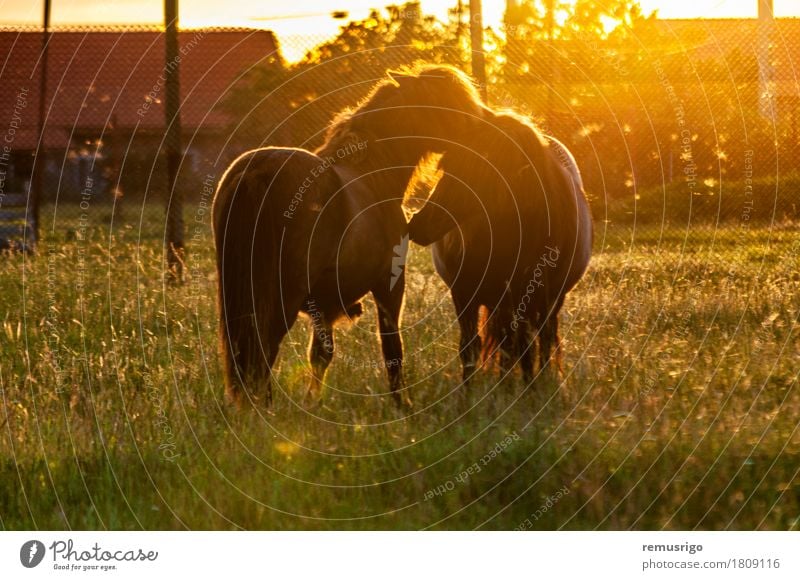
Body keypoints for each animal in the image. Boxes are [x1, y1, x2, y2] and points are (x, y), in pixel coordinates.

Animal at [212, 63, 484, 408]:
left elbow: (321, 355)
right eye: (446, 102)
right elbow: (392, 349)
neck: (374, 174)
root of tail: (258, 169)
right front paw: (402, 405)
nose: (479, 132)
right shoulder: (390, 285)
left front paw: (312, 403)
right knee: (263, 348)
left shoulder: (323, 307)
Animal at [410, 110, 592, 382]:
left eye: (486, 175)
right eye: (447, 168)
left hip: (547, 301)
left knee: (542, 337)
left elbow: (524, 346)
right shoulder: (463, 294)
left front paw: (528, 387)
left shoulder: (529, 295)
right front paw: (469, 390)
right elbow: (470, 346)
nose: (418, 224)